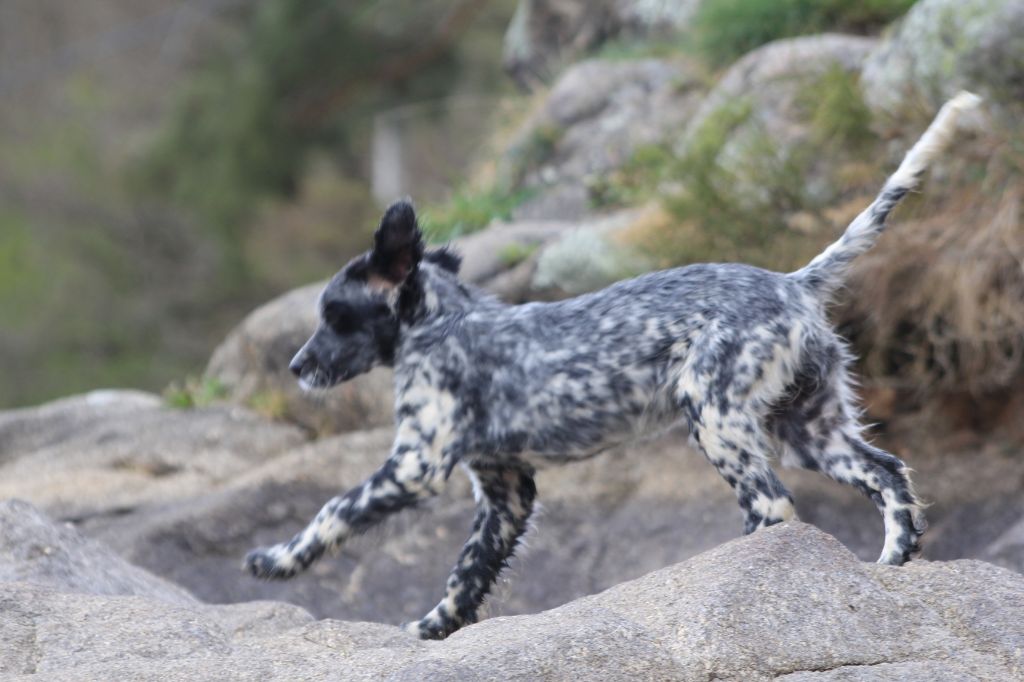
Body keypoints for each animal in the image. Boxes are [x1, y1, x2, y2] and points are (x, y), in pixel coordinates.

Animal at [244, 92, 980, 639]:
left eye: (335, 315)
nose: (297, 366)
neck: (447, 323)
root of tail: (793, 284)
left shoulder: (416, 464)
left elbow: (334, 510)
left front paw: (276, 560)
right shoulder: (506, 489)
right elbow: (467, 573)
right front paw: (433, 628)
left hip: (715, 416)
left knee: (773, 506)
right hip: (807, 427)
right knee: (889, 478)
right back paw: (891, 566)